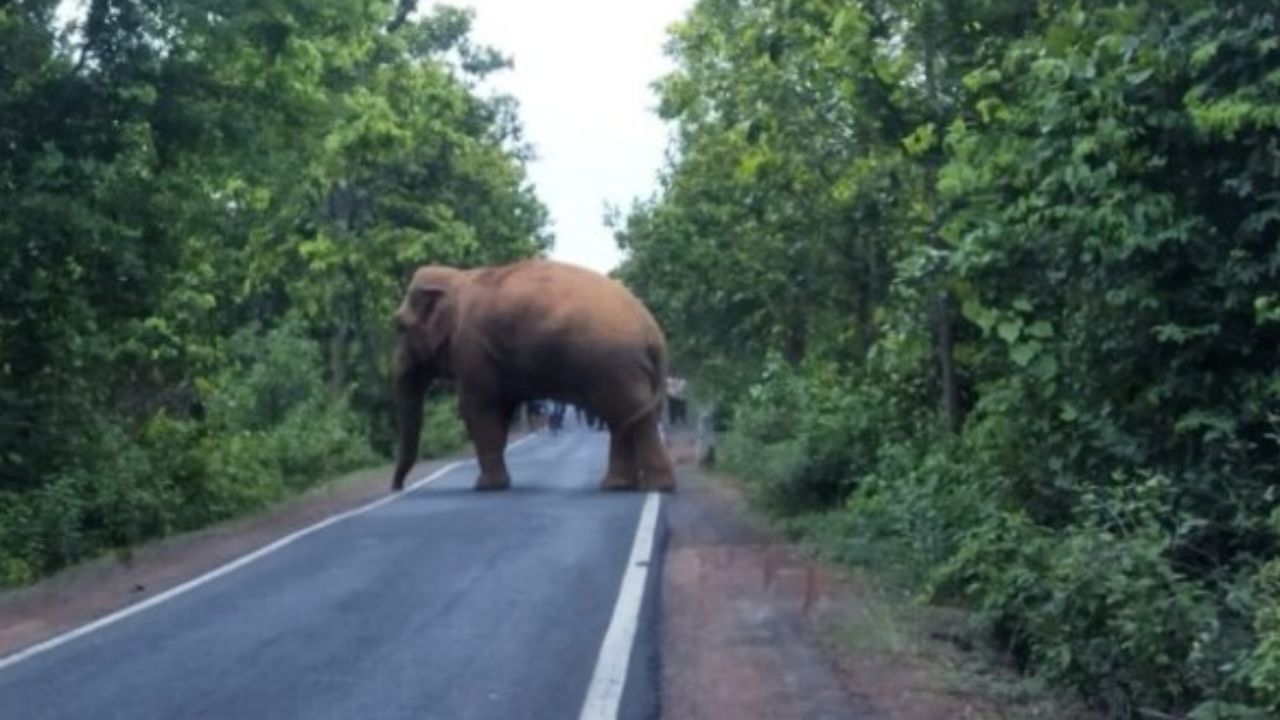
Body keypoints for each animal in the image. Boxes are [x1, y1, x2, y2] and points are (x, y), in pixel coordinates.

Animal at [391, 258, 680, 491]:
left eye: (399, 327)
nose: (398, 486)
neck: (459, 278)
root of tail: (653, 333)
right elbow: (499, 413)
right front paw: (497, 484)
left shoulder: (472, 350)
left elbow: (478, 410)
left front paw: (486, 487)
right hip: (626, 371)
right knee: (623, 417)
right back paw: (618, 486)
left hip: (615, 366)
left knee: (629, 416)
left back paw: (658, 487)